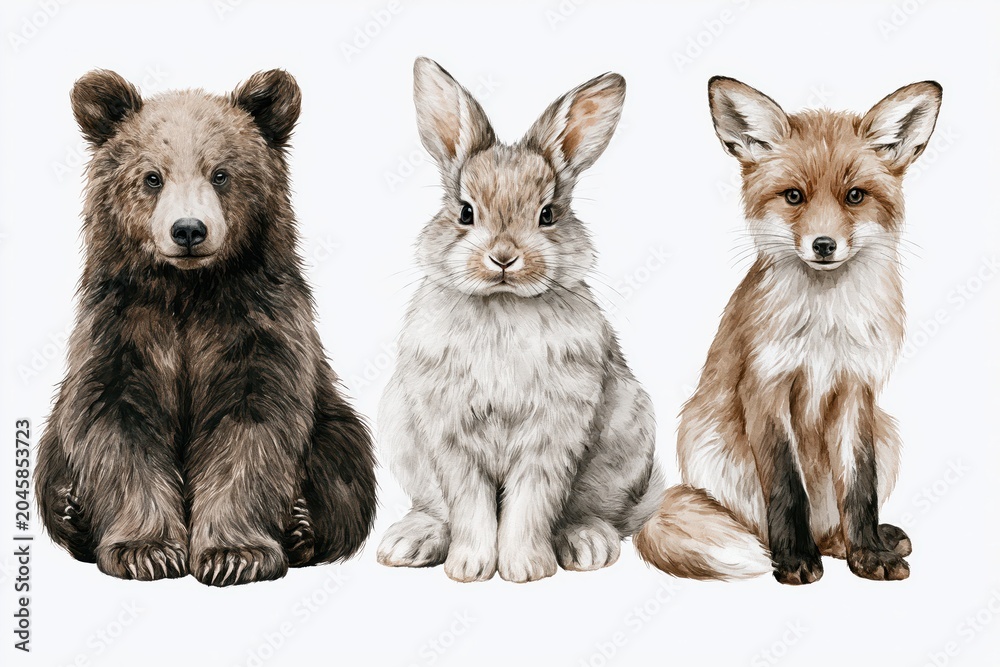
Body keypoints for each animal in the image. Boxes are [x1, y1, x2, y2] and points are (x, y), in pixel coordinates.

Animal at [35, 69, 377, 586]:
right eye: (152, 177)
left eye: (221, 173)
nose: (189, 230)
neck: (188, 292)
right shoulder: (121, 329)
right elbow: (117, 424)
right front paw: (146, 550)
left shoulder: (258, 326)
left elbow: (252, 427)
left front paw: (235, 555)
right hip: (54, 436)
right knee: (51, 464)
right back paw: (72, 511)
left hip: (334, 419)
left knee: (348, 464)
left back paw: (301, 526)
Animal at [376, 57, 664, 583]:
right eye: (465, 212)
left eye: (548, 215)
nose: (504, 257)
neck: (503, 304)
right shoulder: (451, 436)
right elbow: (469, 505)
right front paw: (470, 568)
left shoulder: (553, 433)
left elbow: (532, 501)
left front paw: (525, 569)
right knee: (437, 508)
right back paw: (410, 542)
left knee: (592, 512)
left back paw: (586, 545)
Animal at [634, 76, 942, 585]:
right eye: (793, 196)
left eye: (854, 196)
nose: (823, 245)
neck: (825, 326)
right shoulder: (765, 385)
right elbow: (785, 486)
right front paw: (795, 559)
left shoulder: (856, 390)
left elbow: (860, 489)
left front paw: (868, 555)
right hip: (703, 436)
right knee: (756, 525)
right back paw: (789, 547)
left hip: (887, 432)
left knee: (835, 521)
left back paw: (858, 541)